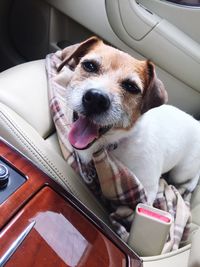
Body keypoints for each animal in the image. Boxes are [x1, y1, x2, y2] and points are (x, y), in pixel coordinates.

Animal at [57, 37, 200, 205]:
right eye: (89, 65)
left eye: (131, 87)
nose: (96, 98)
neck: (113, 143)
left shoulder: (148, 190)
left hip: (181, 172)